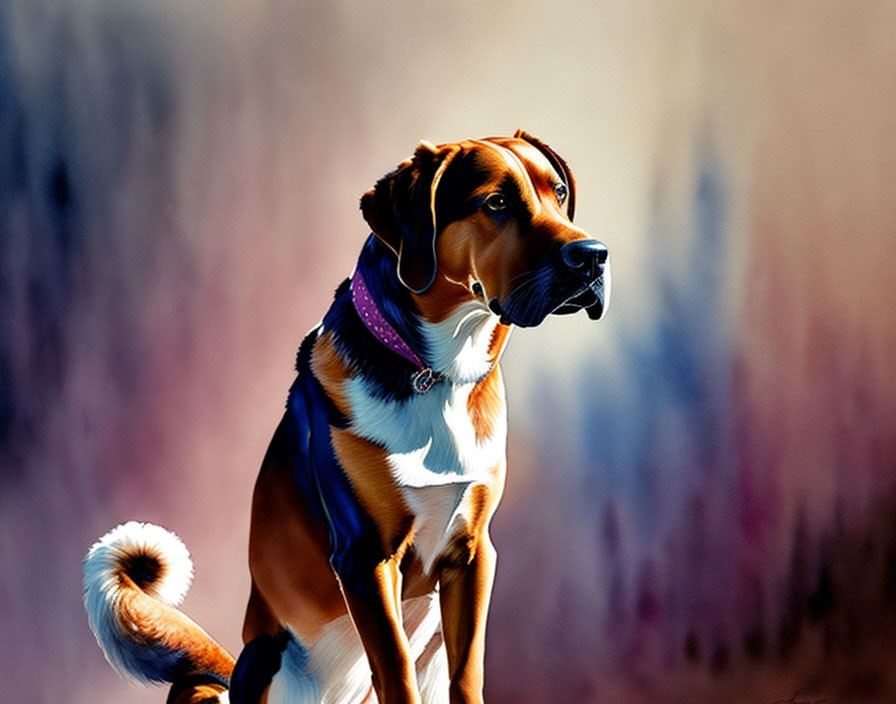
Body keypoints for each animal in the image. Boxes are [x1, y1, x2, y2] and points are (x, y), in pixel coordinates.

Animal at [82, 132, 608, 704]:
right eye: (496, 203)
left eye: (559, 192)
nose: (593, 257)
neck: (434, 372)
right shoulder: (365, 556)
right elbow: (395, 668)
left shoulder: (472, 552)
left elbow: (467, 670)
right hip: (258, 661)